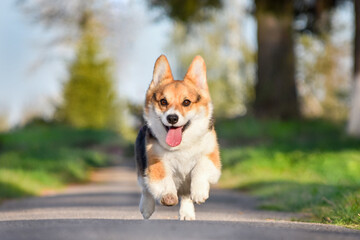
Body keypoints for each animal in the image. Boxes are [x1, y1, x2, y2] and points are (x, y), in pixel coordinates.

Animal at [134, 55, 221, 220]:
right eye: (163, 101)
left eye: (186, 102)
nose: (172, 118)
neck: (182, 145)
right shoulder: (155, 160)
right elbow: (163, 177)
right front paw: (168, 195)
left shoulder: (212, 157)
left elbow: (200, 166)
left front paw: (199, 192)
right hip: (141, 167)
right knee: (145, 188)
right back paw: (146, 207)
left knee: (186, 194)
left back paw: (187, 213)